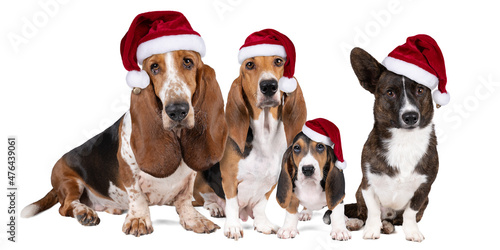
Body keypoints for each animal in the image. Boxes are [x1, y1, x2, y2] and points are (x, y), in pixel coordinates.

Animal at [21, 48, 229, 236]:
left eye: (188, 62)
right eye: (154, 67)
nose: (177, 110)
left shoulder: (189, 177)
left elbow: (184, 199)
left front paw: (194, 220)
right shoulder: (130, 171)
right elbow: (138, 197)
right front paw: (138, 220)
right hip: (69, 181)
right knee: (65, 206)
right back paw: (85, 212)